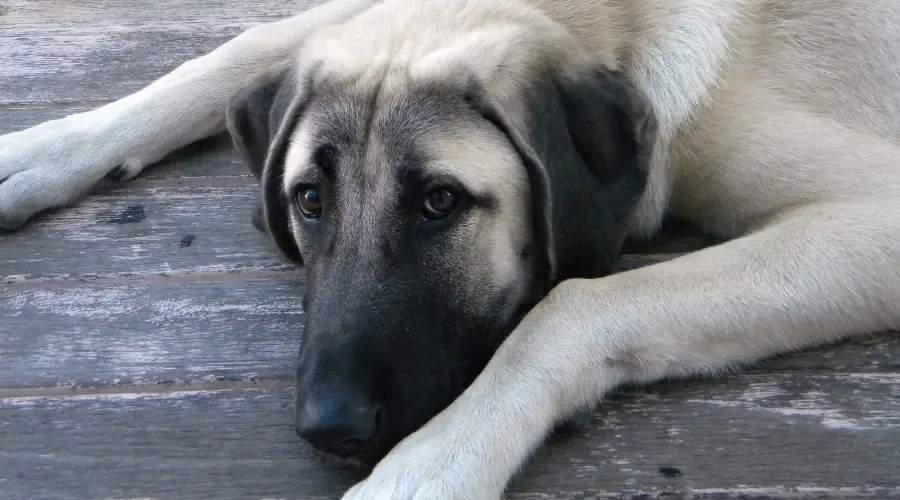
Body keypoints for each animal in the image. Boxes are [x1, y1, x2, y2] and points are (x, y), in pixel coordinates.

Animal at [1, 0, 900, 498]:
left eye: (441, 203)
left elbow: (577, 303)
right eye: (309, 199)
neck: (624, 15)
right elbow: (250, 42)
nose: (328, 428)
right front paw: (46, 148)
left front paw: (434, 462)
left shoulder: (876, 220)